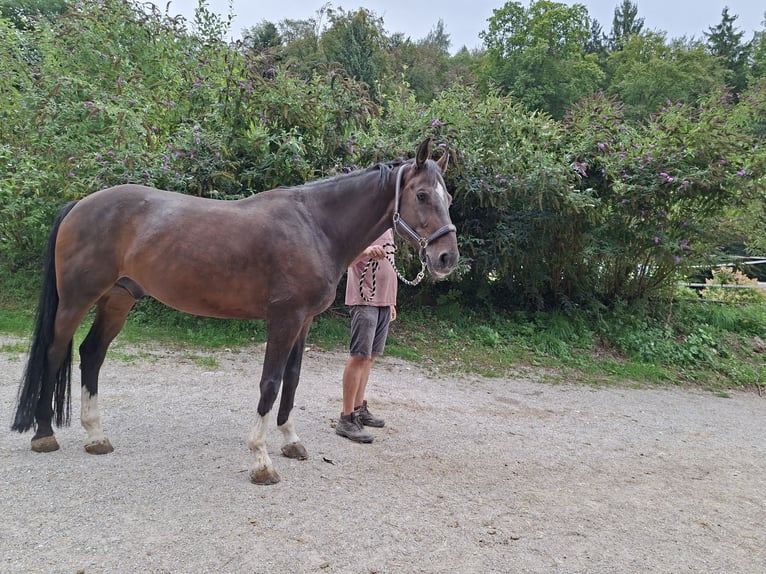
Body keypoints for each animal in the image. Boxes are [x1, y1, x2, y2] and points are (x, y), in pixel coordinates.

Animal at [11, 138, 459, 484]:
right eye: (422, 195)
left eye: (449, 198)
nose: (446, 258)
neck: (314, 226)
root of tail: (80, 204)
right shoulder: (283, 320)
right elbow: (270, 383)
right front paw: (261, 460)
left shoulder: (304, 322)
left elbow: (292, 381)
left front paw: (291, 441)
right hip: (77, 299)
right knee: (55, 352)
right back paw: (44, 434)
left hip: (118, 299)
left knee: (92, 354)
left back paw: (96, 436)